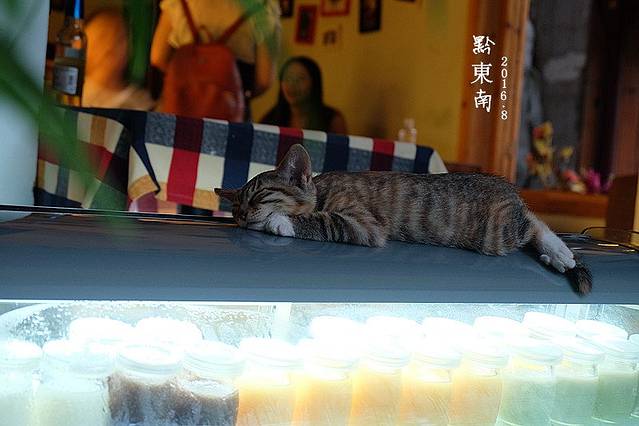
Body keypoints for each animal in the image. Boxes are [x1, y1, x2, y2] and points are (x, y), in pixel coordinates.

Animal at [215, 144, 592, 295]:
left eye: (259, 197)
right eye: (236, 208)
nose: (244, 215)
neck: (322, 190)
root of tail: (508, 187)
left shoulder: (364, 224)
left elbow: (321, 220)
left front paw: (278, 221)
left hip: (495, 233)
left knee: (534, 222)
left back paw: (559, 251)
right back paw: (556, 257)